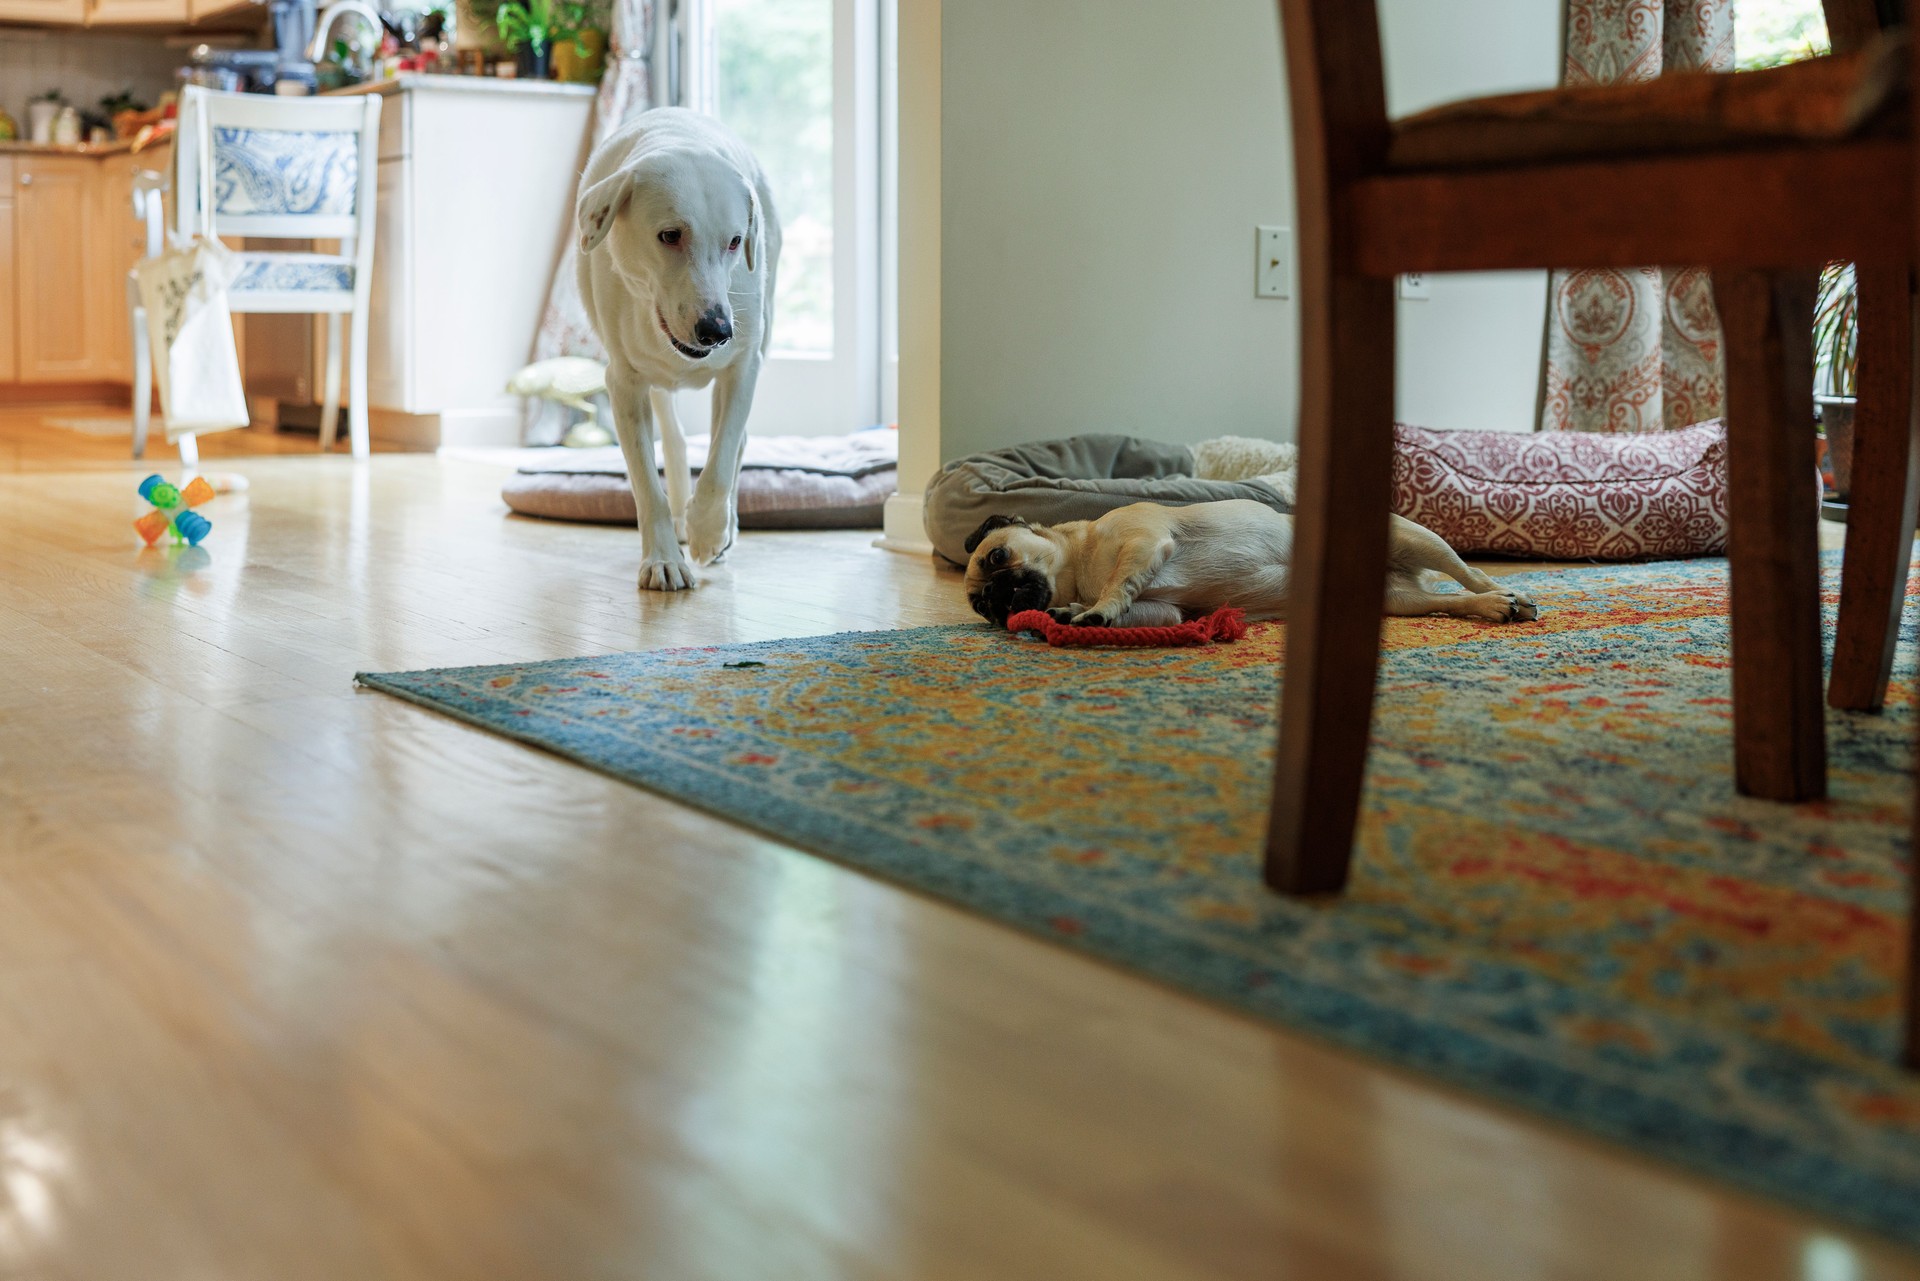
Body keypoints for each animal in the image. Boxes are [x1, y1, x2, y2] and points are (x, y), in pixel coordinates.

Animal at [576, 110, 779, 591]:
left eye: (734, 241)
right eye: (669, 235)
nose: (716, 330)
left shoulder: (744, 364)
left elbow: (722, 458)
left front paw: (708, 529)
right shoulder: (623, 383)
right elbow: (646, 484)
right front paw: (664, 559)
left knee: (733, 441)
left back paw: (718, 525)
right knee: (672, 434)